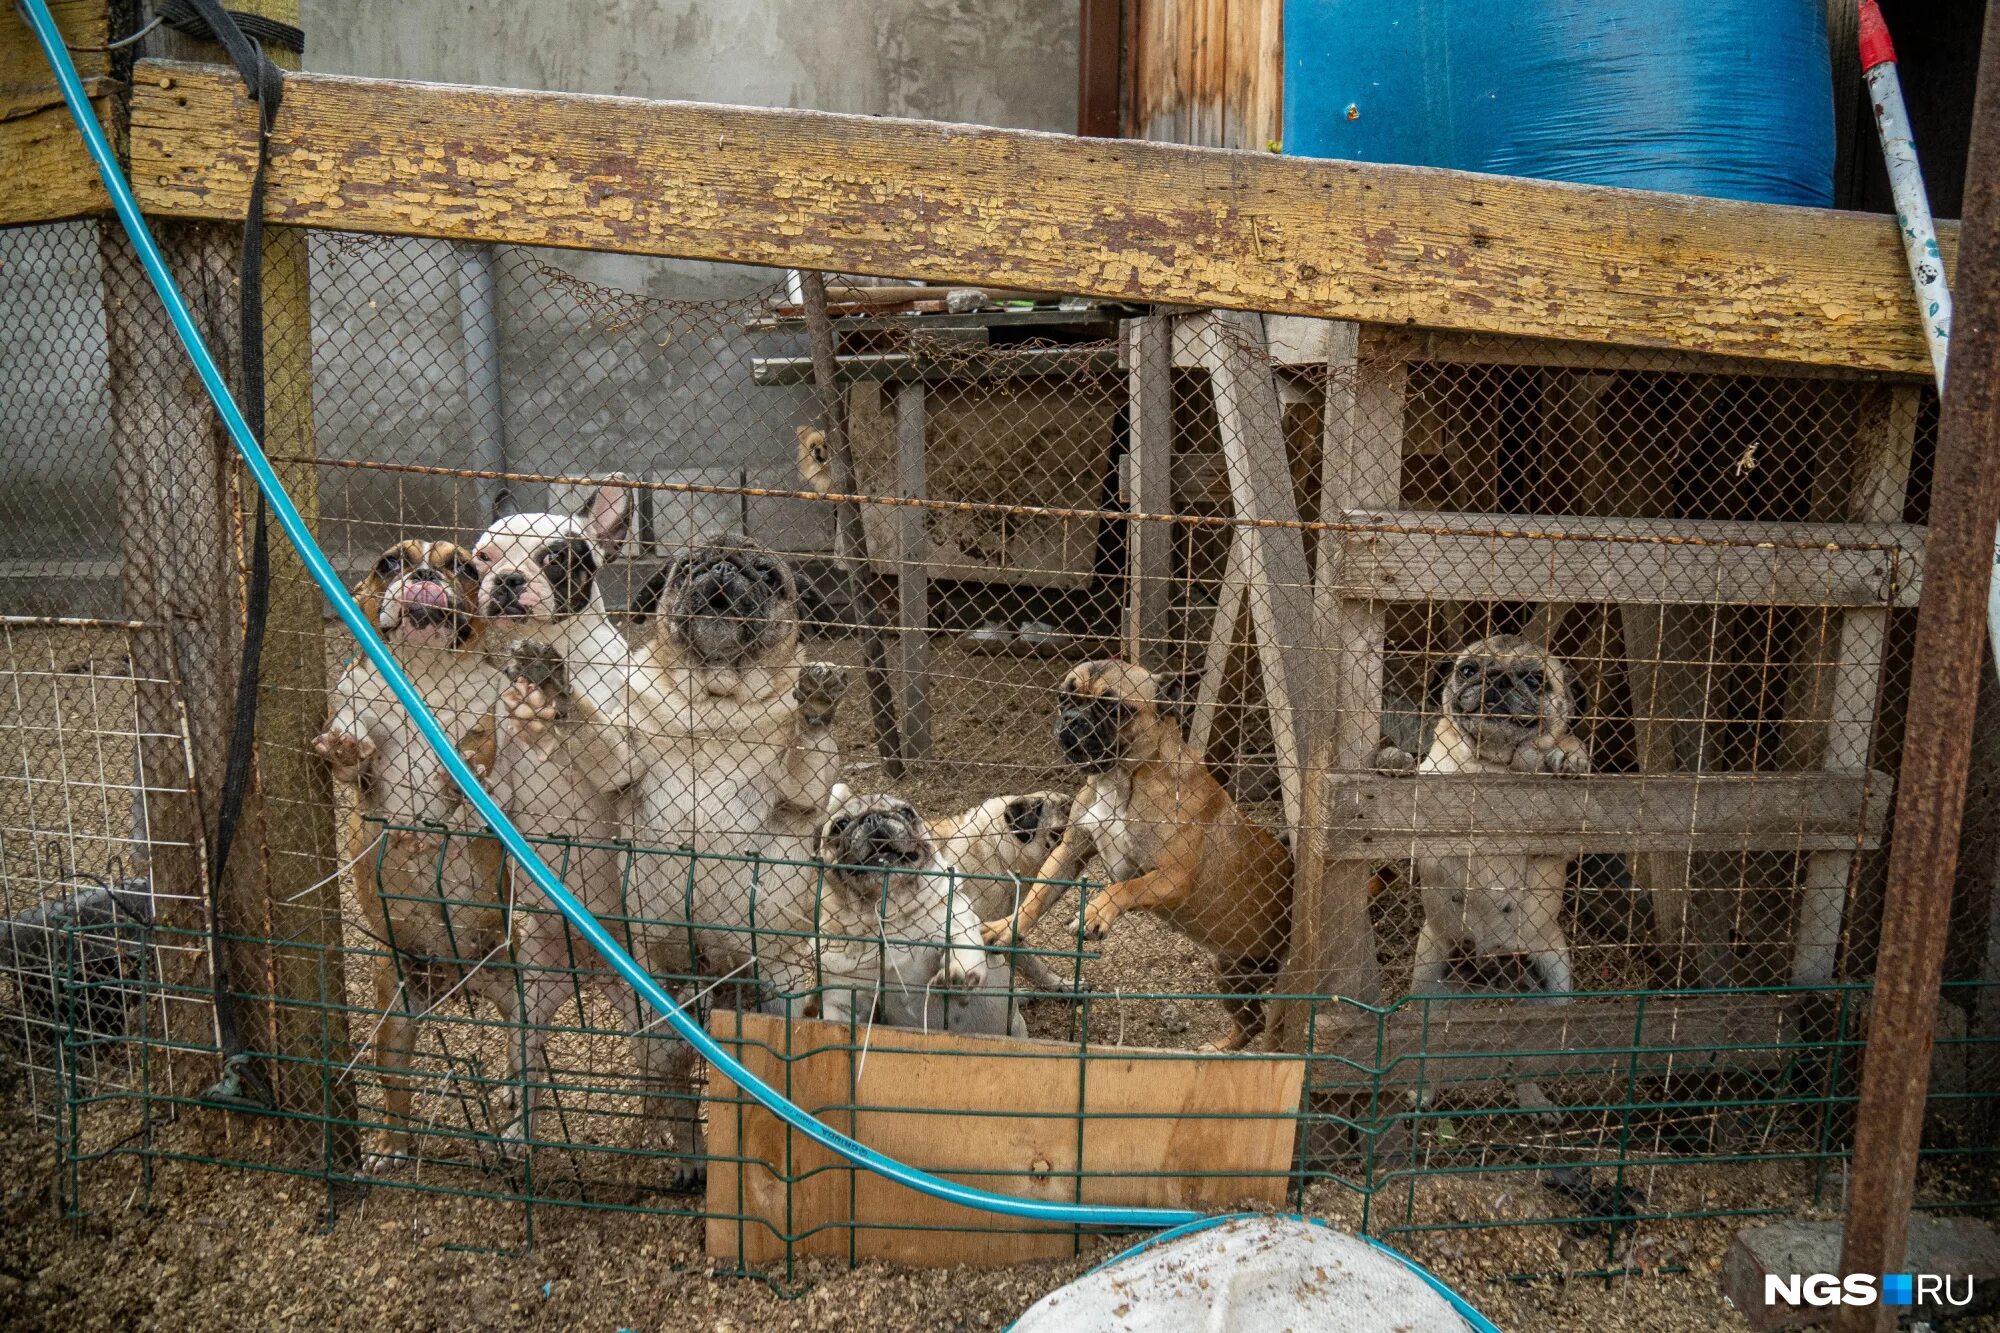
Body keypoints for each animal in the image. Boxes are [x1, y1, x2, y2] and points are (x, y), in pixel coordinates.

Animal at [976, 656, 1288, 1048]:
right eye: (1065, 697)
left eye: (1114, 708)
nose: (1073, 718)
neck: (1120, 780)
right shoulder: (1069, 853)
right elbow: (1036, 897)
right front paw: (1005, 928)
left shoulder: (1173, 877)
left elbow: (1124, 887)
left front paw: (1095, 914)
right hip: (1229, 973)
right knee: (1251, 1022)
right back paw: (1220, 1049)